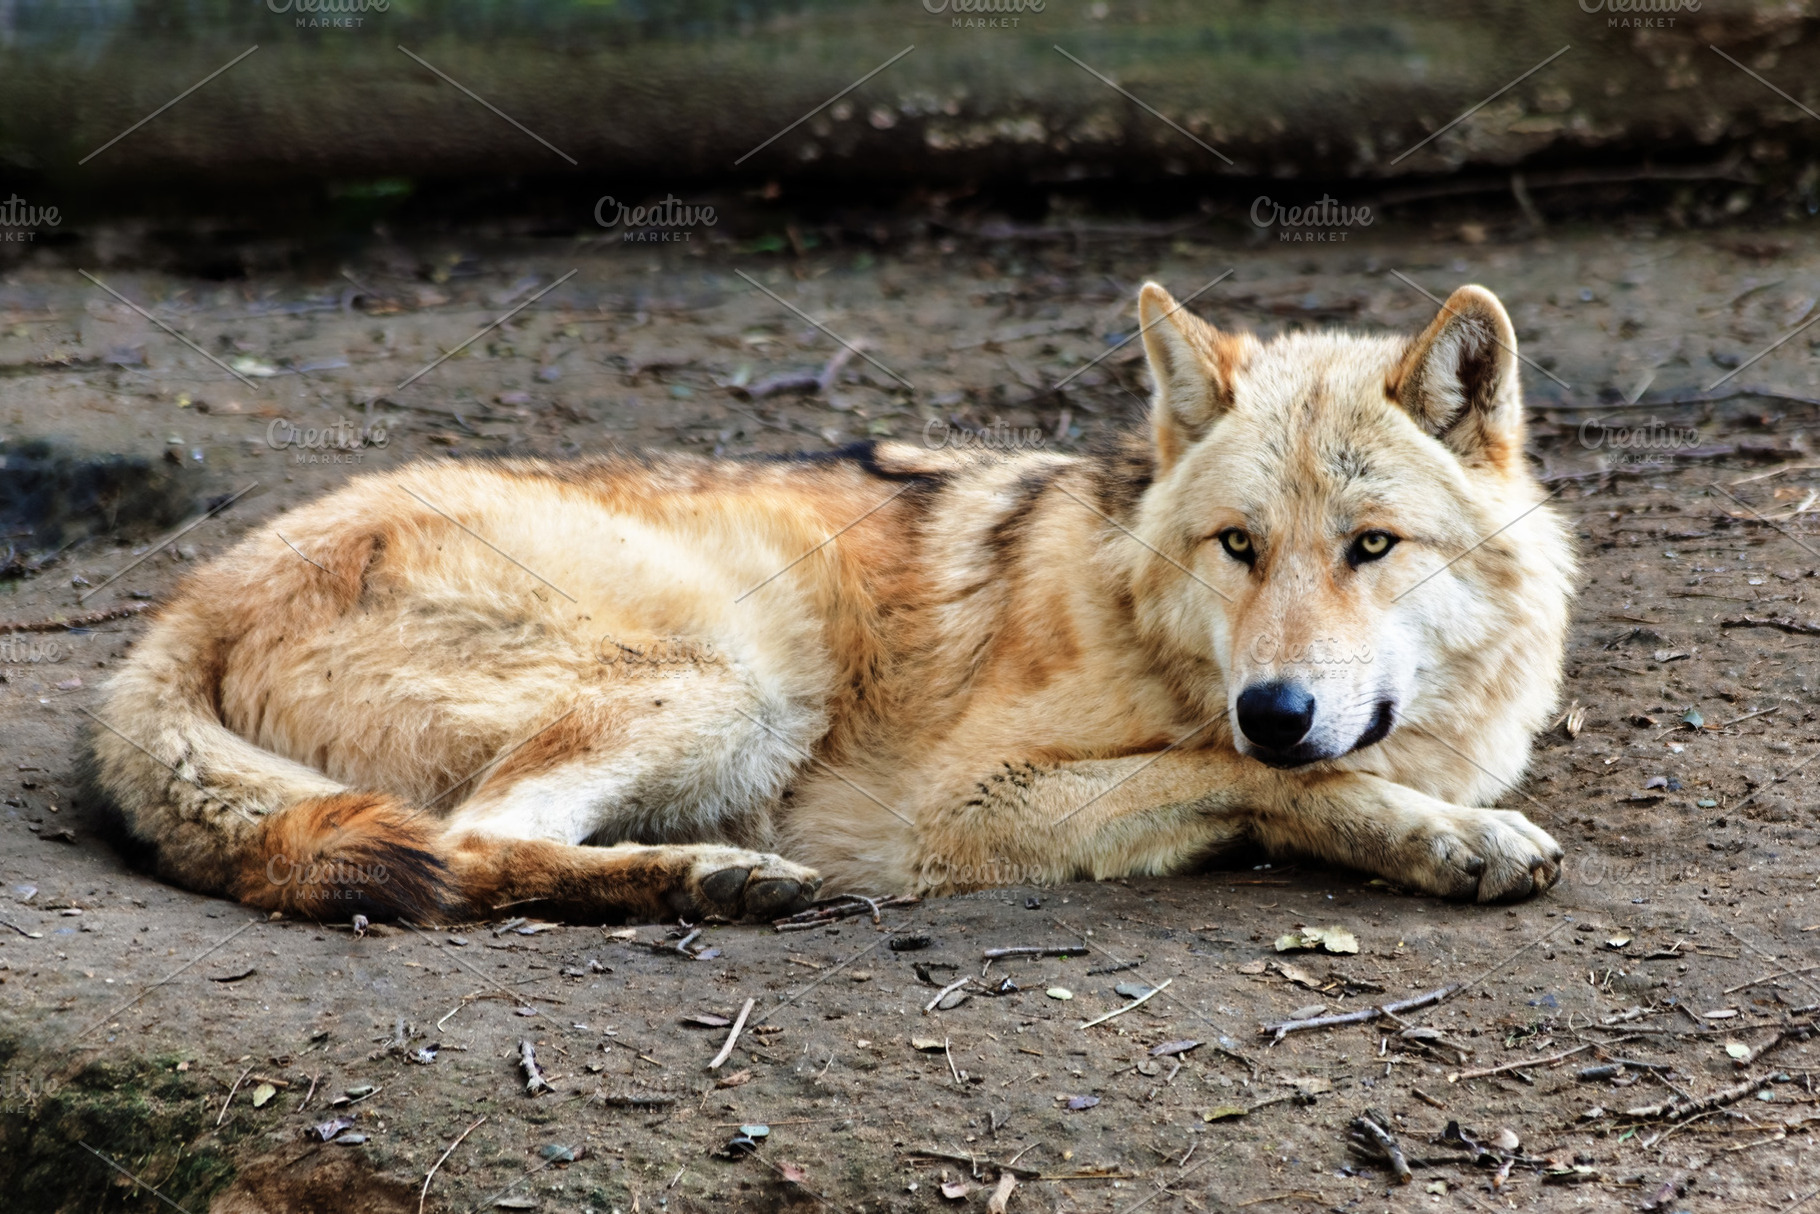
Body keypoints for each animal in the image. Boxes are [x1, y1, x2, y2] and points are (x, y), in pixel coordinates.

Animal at [89, 282, 1572, 924]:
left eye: (1371, 545)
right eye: (1238, 545)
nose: (1274, 703)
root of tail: (190, 599)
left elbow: (1288, 776)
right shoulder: (967, 804)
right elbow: (1271, 783)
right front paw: (1449, 837)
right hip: (733, 681)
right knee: (473, 842)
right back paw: (709, 879)